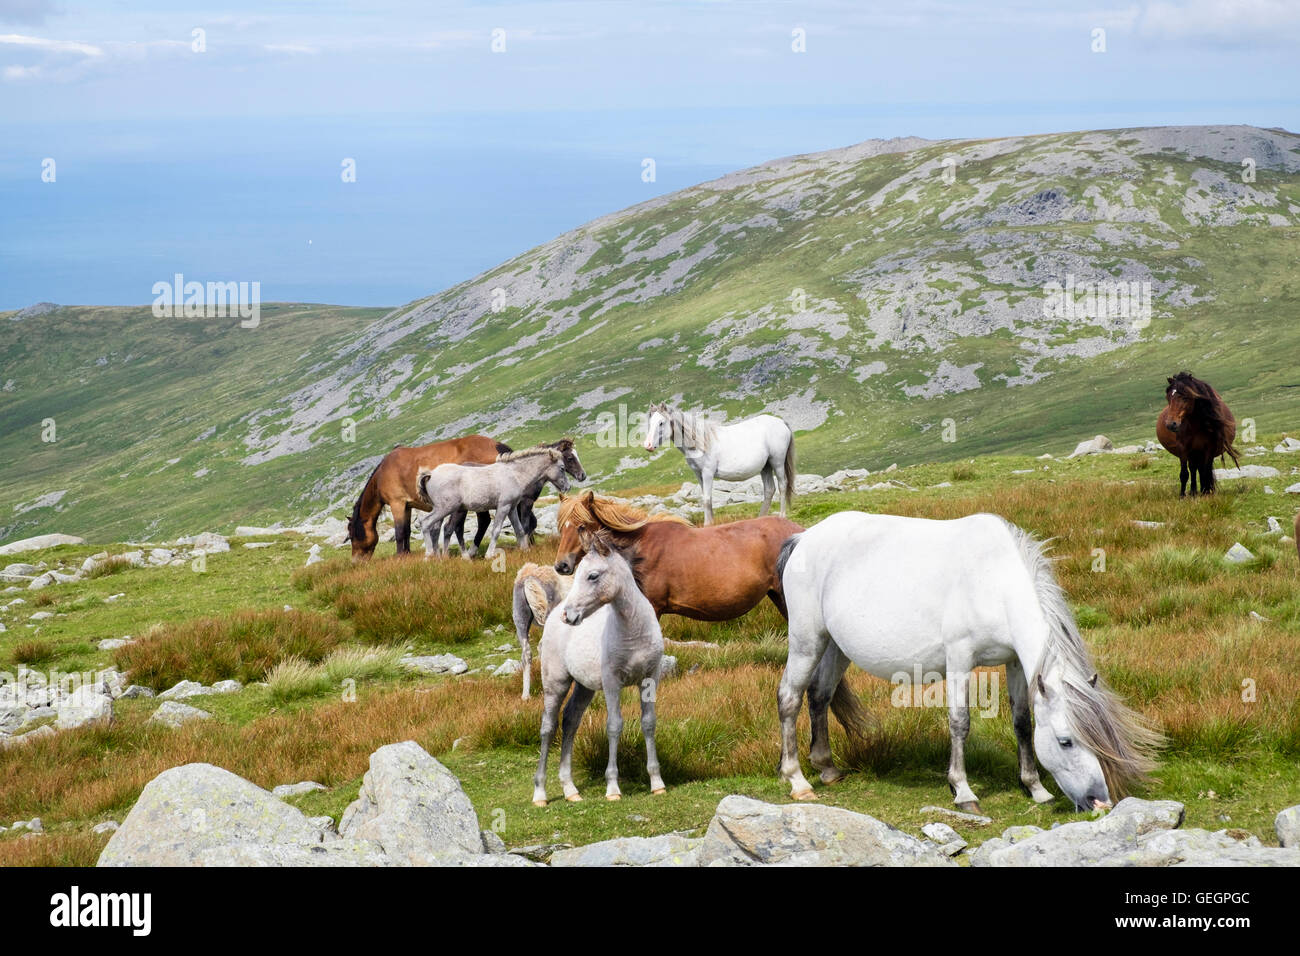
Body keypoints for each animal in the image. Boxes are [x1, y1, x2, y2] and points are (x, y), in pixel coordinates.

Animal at [351, 434, 512, 561]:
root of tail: (497, 445)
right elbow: (407, 531)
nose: (355, 562)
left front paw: (400, 557)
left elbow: (399, 532)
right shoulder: (407, 506)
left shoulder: (397, 503)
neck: (383, 473)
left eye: (352, 536)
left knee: (483, 521)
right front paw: (407, 553)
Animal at [644, 403, 795, 528]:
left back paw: (782, 516)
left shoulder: (708, 473)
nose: (648, 445)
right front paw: (711, 524)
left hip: (777, 463)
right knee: (769, 490)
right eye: (649, 422)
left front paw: (707, 525)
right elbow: (706, 498)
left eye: (661, 423)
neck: (700, 442)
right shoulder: (699, 475)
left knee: (782, 485)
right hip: (766, 467)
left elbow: (706, 499)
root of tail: (781, 422)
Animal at [769, 512, 1159, 811]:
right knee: (790, 697)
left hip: (835, 647)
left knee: (819, 695)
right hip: (807, 642)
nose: (1099, 801)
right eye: (1066, 741)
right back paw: (797, 780)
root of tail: (802, 539)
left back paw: (827, 767)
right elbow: (960, 722)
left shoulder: (1016, 663)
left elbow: (1022, 722)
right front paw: (963, 791)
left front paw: (1035, 788)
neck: (993, 582)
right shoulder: (959, 659)